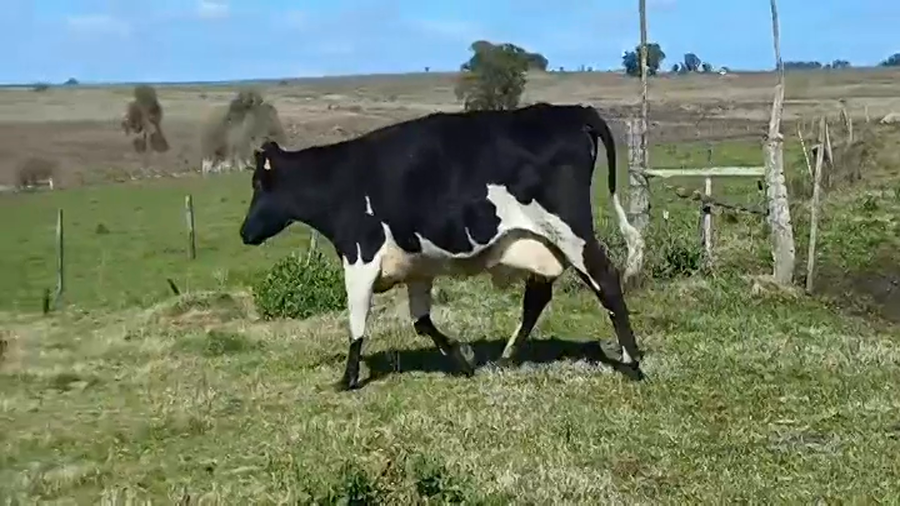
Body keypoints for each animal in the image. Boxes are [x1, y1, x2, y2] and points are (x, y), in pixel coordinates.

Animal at [239, 102, 646, 391]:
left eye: (258, 183)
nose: (244, 232)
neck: (339, 180)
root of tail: (573, 111)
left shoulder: (359, 255)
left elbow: (356, 320)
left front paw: (347, 379)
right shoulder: (416, 266)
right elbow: (421, 321)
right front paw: (460, 357)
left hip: (570, 231)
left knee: (606, 280)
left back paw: (633, 362)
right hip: (541, 241)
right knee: (537, 298)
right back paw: (506, 356)